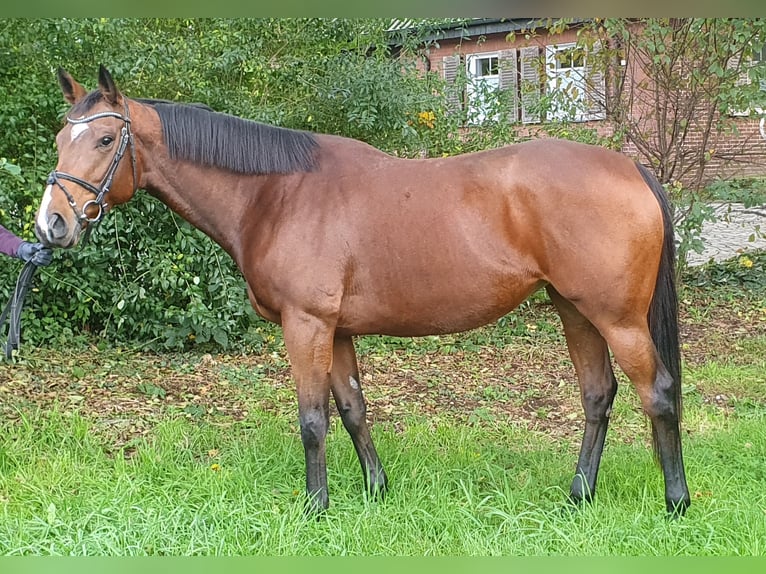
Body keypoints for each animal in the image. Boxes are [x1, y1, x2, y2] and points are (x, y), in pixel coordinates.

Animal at [34, 66, 696, 516]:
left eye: (103, 141)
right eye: (61, 141)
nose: (50, 225)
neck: (276, 193)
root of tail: (630, 167)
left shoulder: (305, 324)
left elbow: (312, 419)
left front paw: (315, 507)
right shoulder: (337, 330)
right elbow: (352, 409)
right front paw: (376, 491)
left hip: (618, 318)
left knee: (658, 393)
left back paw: (676, 501)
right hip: (574, 309)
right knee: (598, 395)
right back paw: (579, 495)